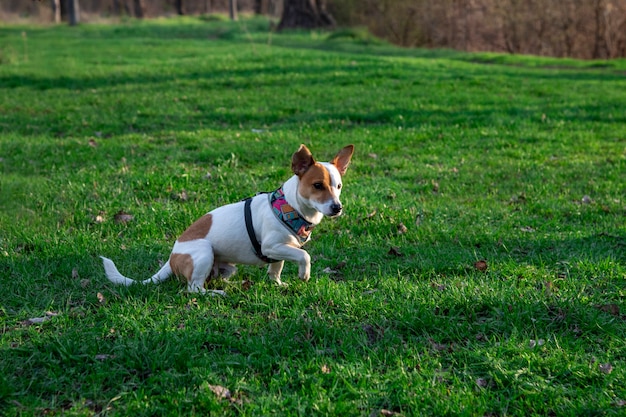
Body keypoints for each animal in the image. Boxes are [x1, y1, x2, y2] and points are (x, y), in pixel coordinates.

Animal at [100, 145, 354, 294]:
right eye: (318, 185)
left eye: (339, 186)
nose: (337, 207)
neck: (289, 207)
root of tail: (172, 258)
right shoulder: (271, 246)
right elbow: (304, 255)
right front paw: (304, 274)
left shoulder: (280, 251)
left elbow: (276, 269)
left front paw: (278, 284)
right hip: (204, 253)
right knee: (194, 289)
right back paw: (216, 293)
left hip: (226, 267)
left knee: (212, 279)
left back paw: (231, 284)